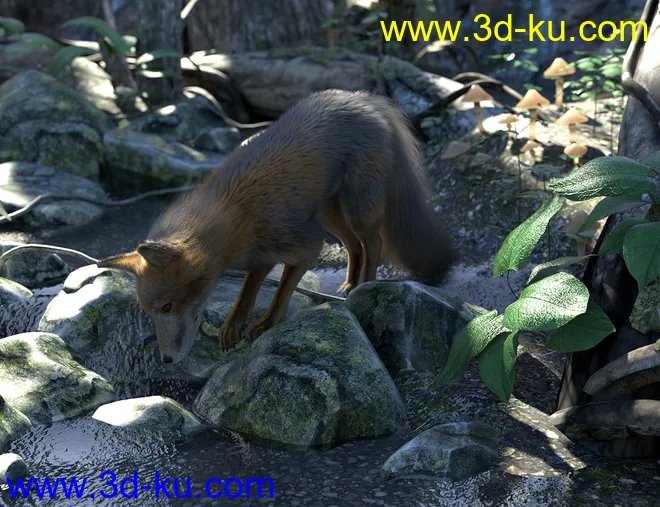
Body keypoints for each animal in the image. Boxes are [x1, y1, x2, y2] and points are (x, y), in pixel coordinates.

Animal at [97, 89, 456, 364]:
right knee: (354, 246)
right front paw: (233, 326)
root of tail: (361, 97)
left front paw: (267, 323)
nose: (166, 360)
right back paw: (350, 284)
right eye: (150, 314)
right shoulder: (262, 255)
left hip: (356, 209)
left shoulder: (305, 245)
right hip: (330, 216)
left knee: (373, 244)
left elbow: (281, 292)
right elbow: (245, 294)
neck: (236, 212)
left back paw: (364, 286)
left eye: (168, 307)